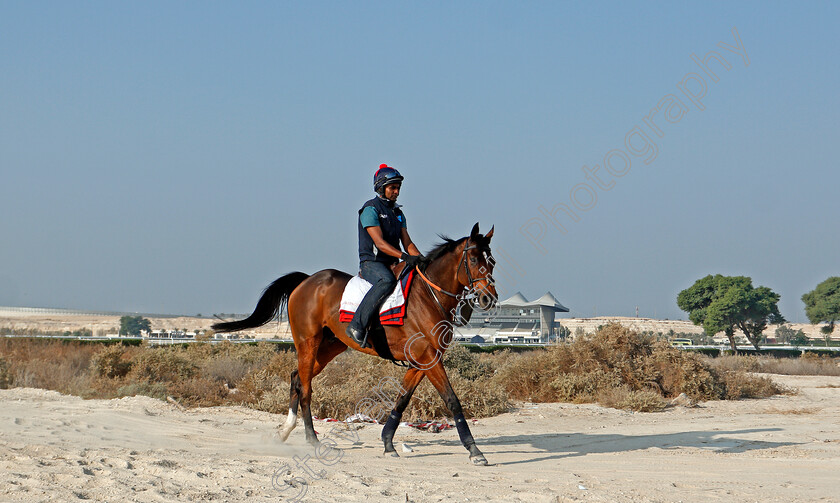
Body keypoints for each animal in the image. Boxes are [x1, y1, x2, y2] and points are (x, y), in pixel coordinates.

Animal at [213, 222, 496, 466]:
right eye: (473, 260)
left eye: (491, 261)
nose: (488, 298)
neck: (428, 297)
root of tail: (307, 281)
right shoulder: (428, 357)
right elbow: (452, 400)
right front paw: (475, 451)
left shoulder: (421, 361)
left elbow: (401, 400)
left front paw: (388, 443)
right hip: (308, 342)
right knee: (305, 388)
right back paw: (312, 439)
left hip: (330, 346)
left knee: (297, 378)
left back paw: (285, 432)